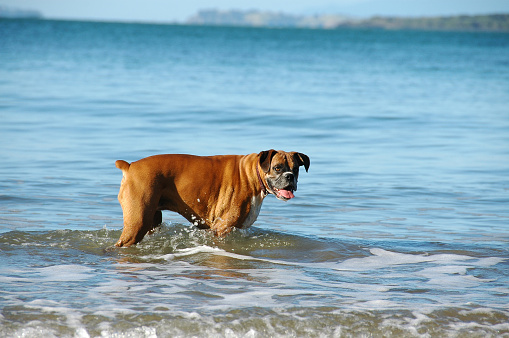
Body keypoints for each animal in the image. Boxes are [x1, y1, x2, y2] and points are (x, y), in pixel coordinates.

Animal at [114, 149, 310, 247]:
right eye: (277, 168)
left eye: (296, 169)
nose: (290, 177)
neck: (251, 175)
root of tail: (129, 166)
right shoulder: (221, 229)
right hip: (137, 223)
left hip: (151, 222)